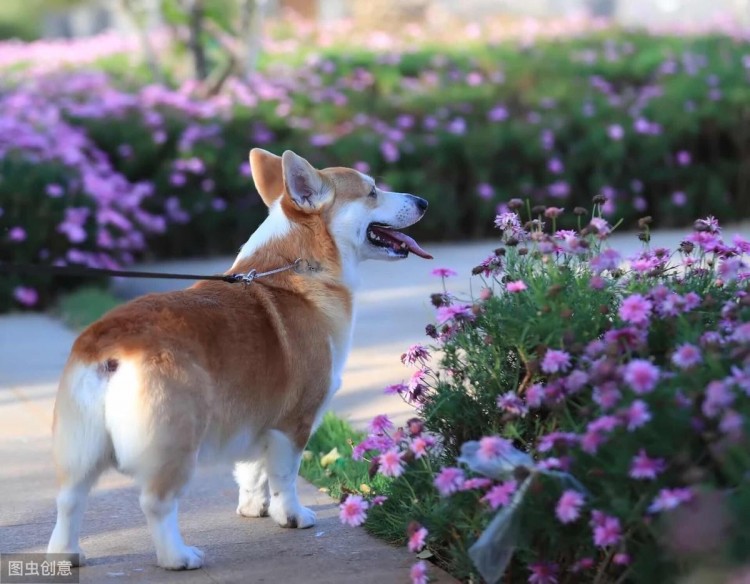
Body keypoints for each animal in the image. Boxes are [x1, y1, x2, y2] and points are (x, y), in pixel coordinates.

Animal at [47, 148, 432, 568]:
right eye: (372, 191)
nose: (423, 202)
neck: (300, 266)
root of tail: (110, 346)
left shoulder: (253, 416)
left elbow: (251, 472)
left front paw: (253, 509)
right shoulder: (293, 424)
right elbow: (284, 477)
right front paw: (291, 516)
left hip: (80, 447)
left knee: (69, 499)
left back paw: (66, 554)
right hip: (177, 442)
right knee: (156, 502)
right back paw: (178, 556)